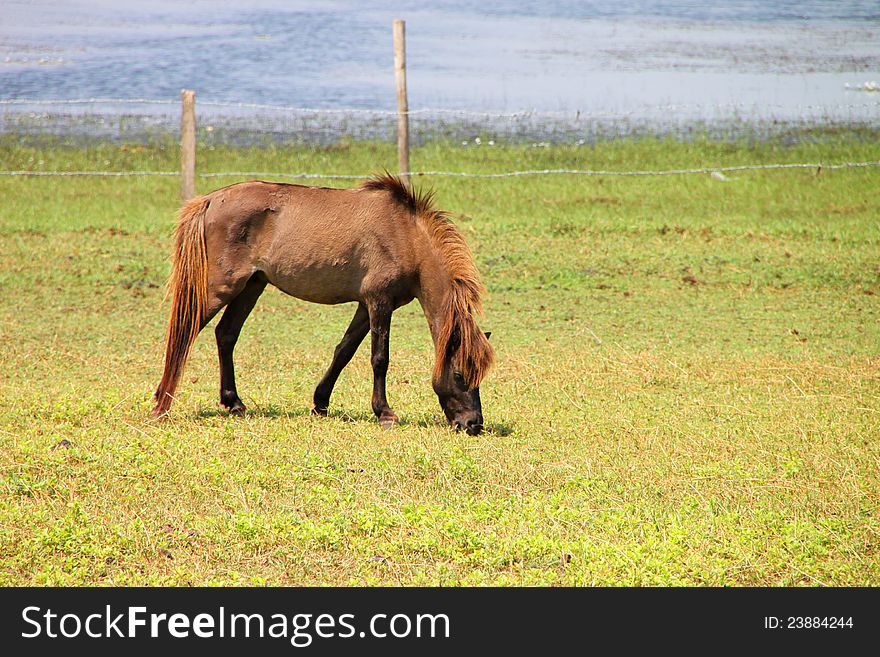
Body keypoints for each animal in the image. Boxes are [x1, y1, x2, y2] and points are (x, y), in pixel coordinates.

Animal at [154, 172, 492, 434]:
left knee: (226, 335)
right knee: (184, 333)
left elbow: (344, 351)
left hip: (251, 286)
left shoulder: (365, 305)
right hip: (220, 288)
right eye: (459, 374)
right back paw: (161, 404)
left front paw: (320, 402)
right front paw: (384, 413)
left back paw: (233, 402)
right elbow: (379, 359)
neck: (405, 235)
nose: (473, 424)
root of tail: (211, 200)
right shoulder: (379, 302)